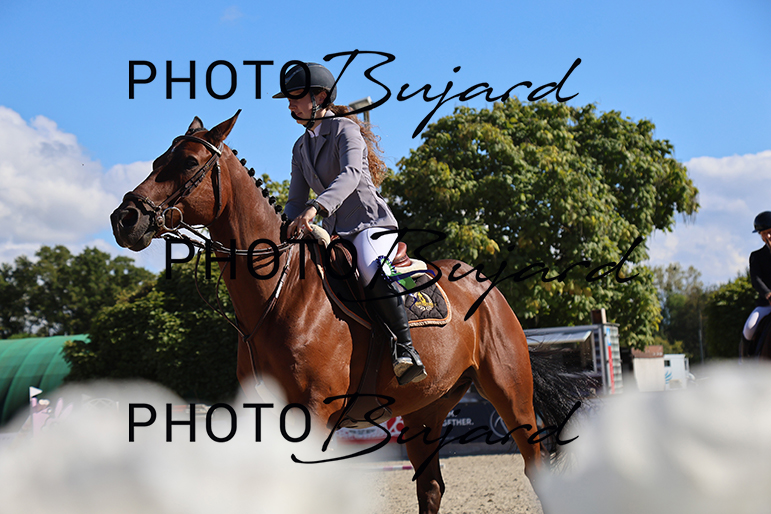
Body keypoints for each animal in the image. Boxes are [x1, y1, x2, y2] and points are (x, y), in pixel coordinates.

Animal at [110, 111, 582, 513]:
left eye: (189, 162)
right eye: (157, 161)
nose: (124, 218)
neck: (281, 295)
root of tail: (485, 283)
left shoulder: (314, 415)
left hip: (511, 396)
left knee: (535, 468)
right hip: (425, 410)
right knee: (430, 487)